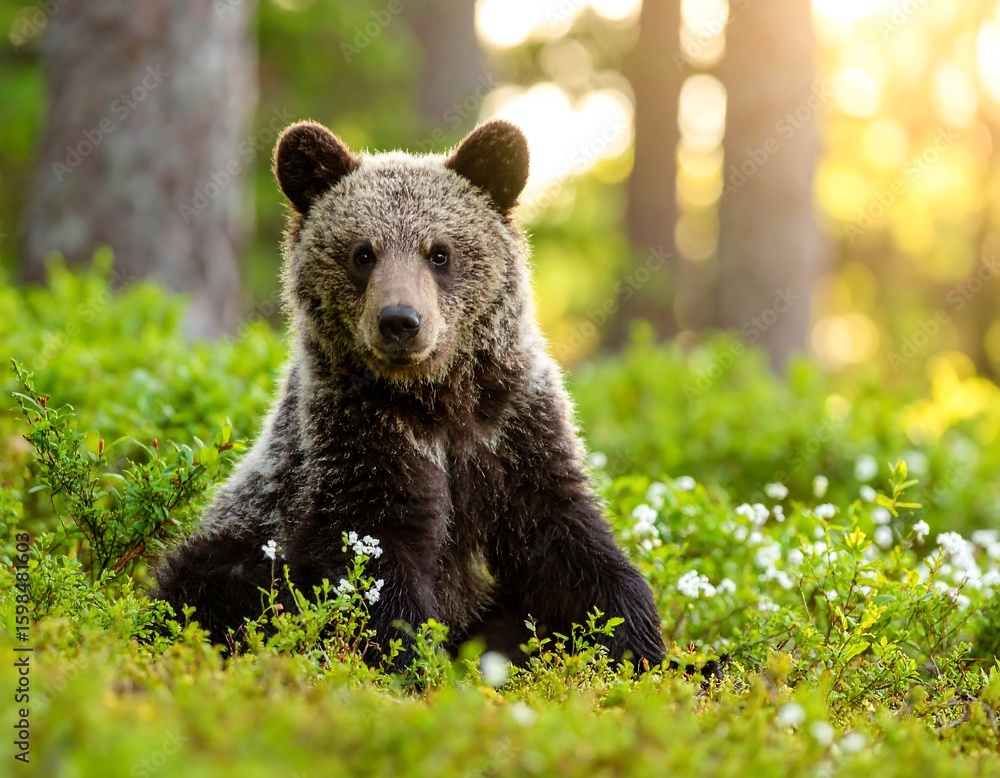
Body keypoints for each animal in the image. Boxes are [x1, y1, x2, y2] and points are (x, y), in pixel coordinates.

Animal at [154, 118, 666, 671]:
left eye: (440, 252)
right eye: (362, 253)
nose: (400, 320)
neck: (435, 400)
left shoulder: (513, 429)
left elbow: (569, 546)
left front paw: (649, 650)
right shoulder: (360, 439)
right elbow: (375, 561)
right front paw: (415, 660)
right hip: (241, 538)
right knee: (208, 583)